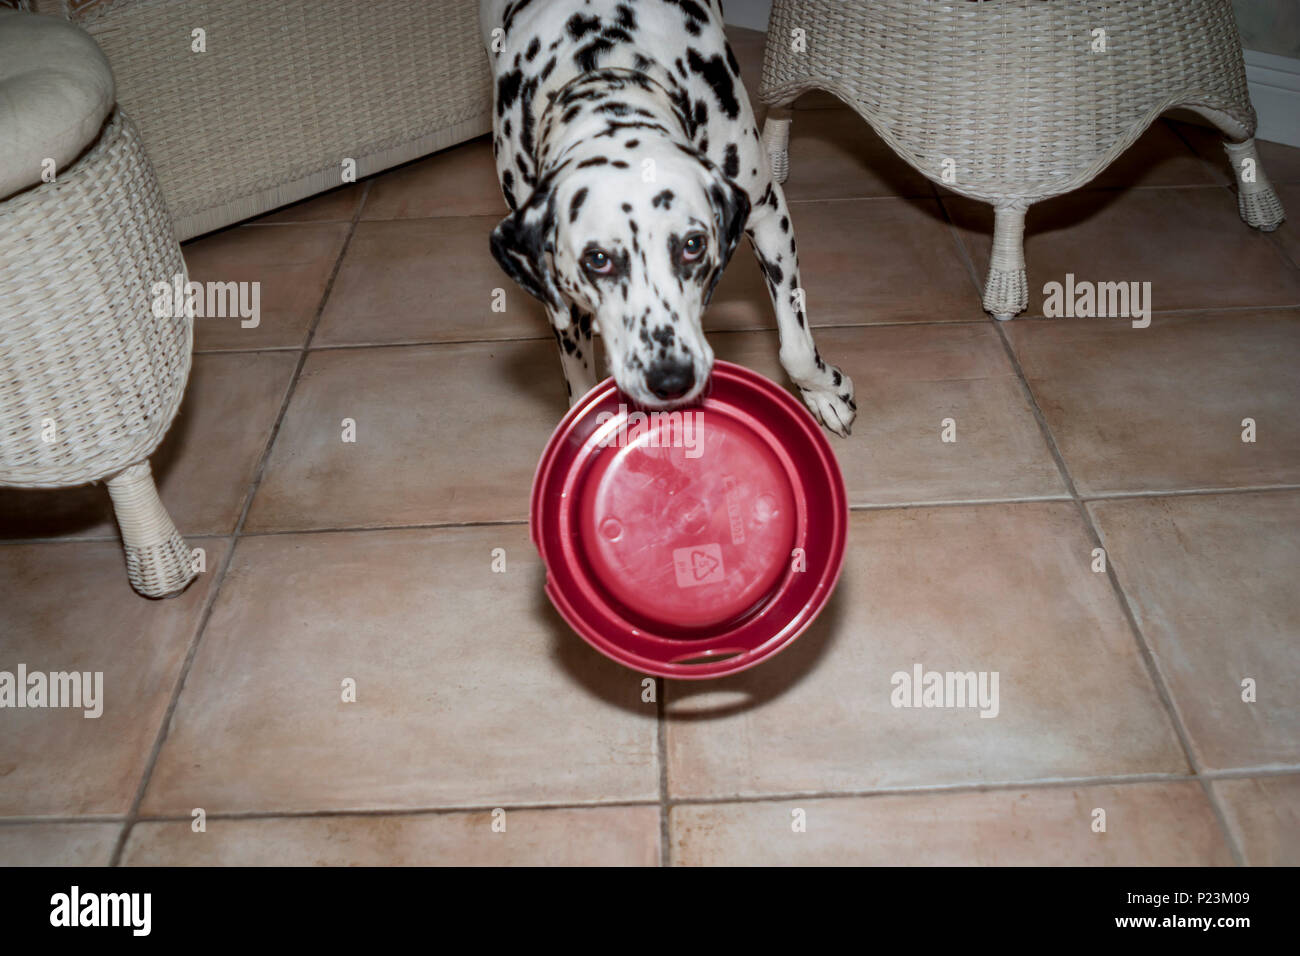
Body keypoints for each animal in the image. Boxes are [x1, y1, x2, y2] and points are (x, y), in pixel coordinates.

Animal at [483, 0, 857, 437]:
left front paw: (825, 393)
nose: (670, 378)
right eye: (597, 260)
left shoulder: (767, 212)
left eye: (693, 245)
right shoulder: (558, 295)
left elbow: (795, 347)